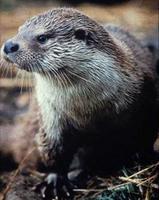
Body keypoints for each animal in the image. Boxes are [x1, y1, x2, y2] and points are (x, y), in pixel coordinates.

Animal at [0, 7, 158, 200]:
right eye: (19, 30)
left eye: (42, 37)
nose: (9, 45)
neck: (91, 109)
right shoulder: (51, 116)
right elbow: (54, 150)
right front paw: (55, 181)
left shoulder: (147, 97)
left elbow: (147, 136)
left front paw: (143, 158)